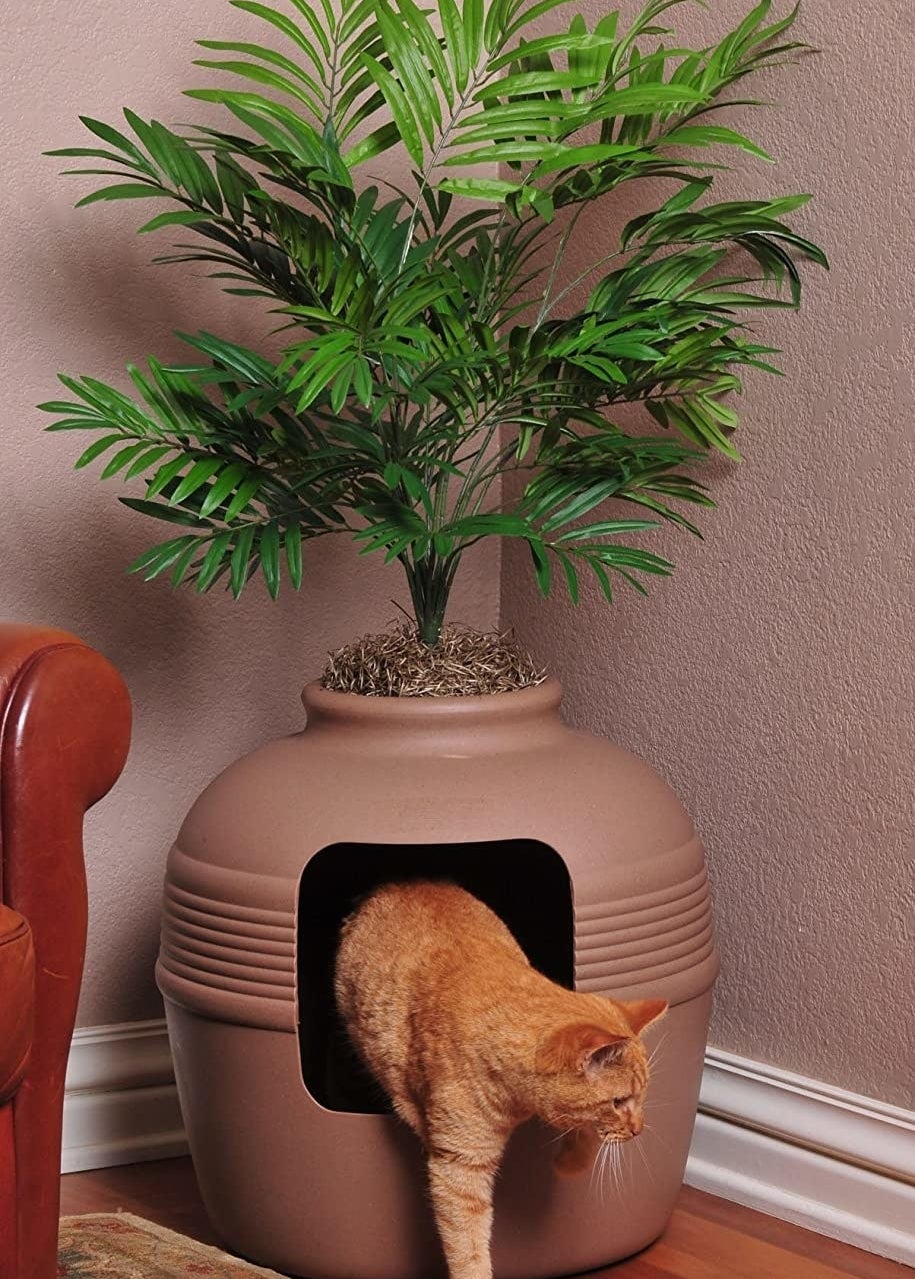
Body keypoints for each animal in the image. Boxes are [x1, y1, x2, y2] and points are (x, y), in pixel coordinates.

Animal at [335, 879, 665, 1279]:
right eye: (619, 1102)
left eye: (640, 1098)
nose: (638, 1129)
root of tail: (397, 883)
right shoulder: (459, 1166)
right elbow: (469, 1249)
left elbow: (582, 1129)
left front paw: (570, 1163)